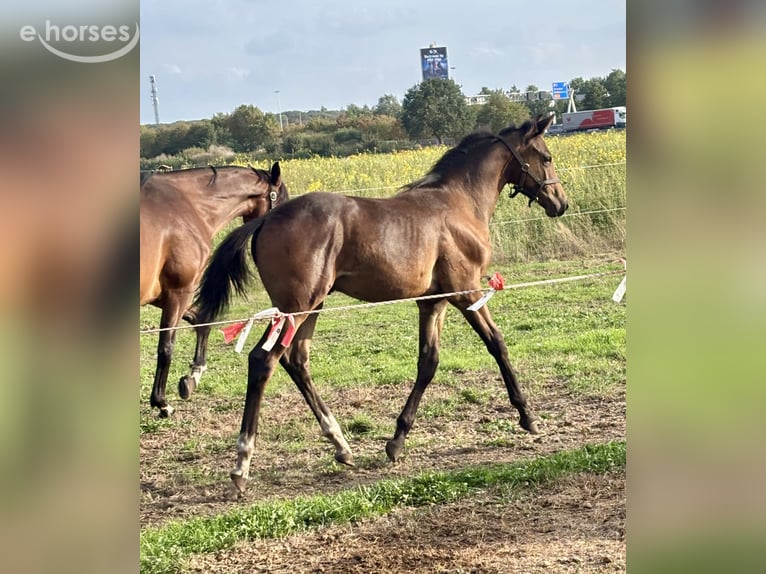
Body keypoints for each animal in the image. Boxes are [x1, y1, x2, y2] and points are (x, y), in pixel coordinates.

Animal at [140, 163, 288, 418]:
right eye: (282, 200)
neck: (190, 204)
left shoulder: (163, 294)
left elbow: (201, 321)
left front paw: (193, 376)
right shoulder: (180, 291)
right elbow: (166, 347)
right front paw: (162, 403)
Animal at [194, 115, 567, 492]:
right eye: (546, 157)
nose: (560, 203)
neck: (459, 203)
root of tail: (267, 218)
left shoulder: (433, 302)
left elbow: (428, 362)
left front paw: (396, 441)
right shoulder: (467, 292)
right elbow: (497, 343)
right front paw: (528, 417)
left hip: (312, 305)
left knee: (296, 360)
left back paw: (341, 446)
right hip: (297, 304)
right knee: (263, 360)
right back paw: (242, 464)